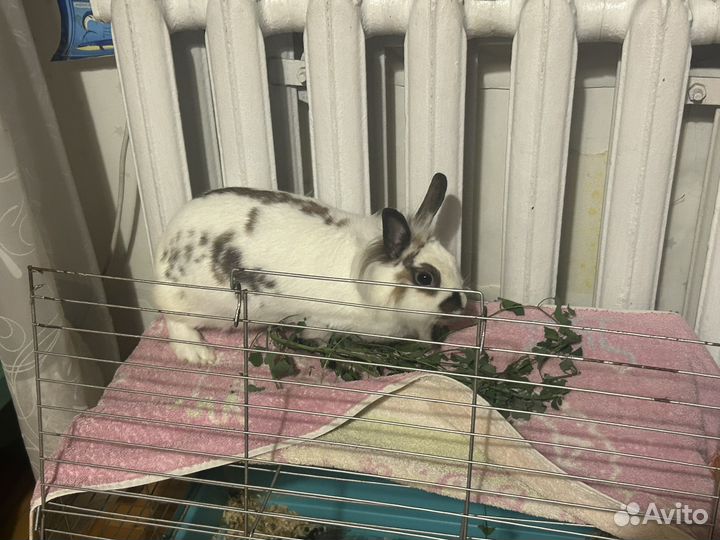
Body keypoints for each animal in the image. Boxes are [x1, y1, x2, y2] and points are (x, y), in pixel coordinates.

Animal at [153, 172, 467, 364]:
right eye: (425, 277)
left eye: (454, 262)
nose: (460, 303)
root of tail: (166, 243)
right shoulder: (323, 322)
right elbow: (317, 336)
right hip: (193, 303)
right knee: (176, 322)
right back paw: (199, 354)